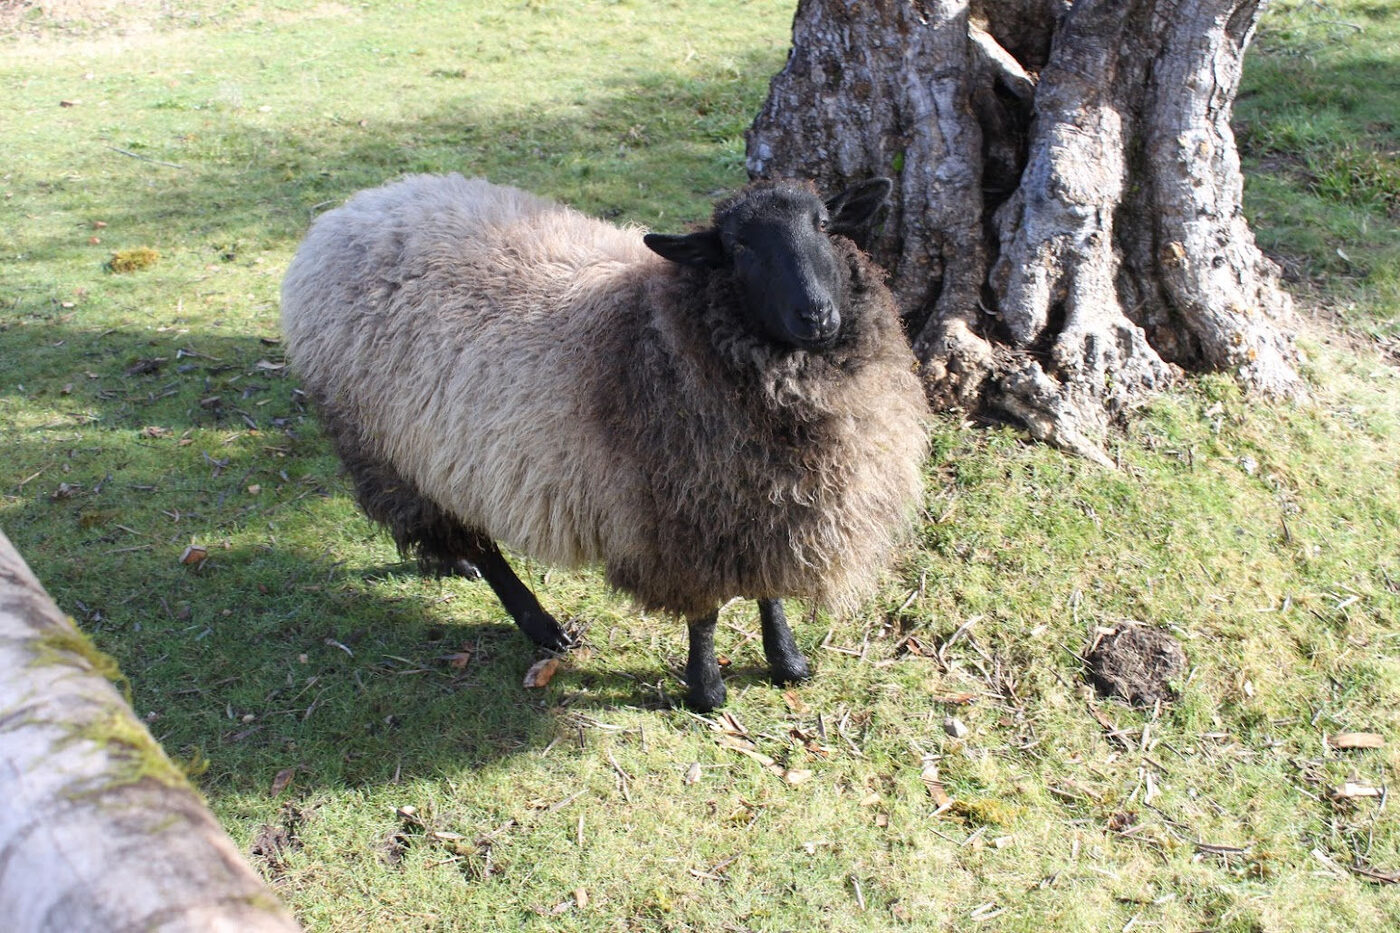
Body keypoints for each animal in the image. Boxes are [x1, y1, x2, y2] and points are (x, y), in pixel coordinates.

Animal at [280, 174, 930, 711]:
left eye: (823, 224)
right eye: (739, 247)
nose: (816, 316)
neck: (662, 326)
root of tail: (349, 212)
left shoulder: (763, 508)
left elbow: (768, 593)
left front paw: (788, 662)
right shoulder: (684, 518)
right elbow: (705, 613)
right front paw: (706, 691)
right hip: (385, 446)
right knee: (475, 542)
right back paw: (540, 625)